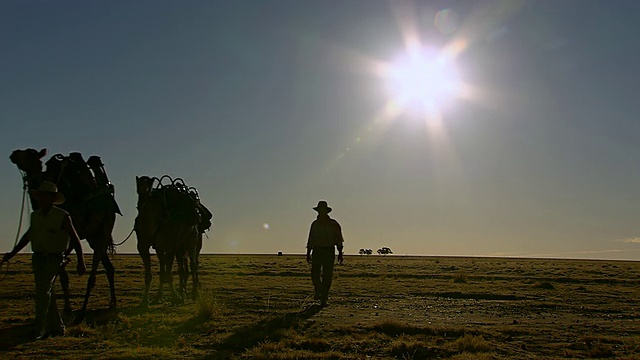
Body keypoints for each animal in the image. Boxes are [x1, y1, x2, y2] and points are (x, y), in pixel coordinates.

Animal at [10, 148, 121, 322]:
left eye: (30, 154)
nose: (14, 153)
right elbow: (61, 274)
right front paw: (65, 309)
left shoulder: (68, 233)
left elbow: (62, 272)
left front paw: (67, 310)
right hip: (93, 237)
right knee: (109, 268)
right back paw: (112, 304)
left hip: (103, 231)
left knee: (94, 274)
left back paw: (82, 312)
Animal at [134, 176, 205, 306]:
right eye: (138, 184)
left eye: (150, 184)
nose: (144, 191)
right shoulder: (145, 246)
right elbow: (155, 274)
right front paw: (148, 300)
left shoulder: (170, 246)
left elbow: (168, 273)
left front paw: (175, 296)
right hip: (181, 245)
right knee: (184, 267)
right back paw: (185, 293)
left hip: (192, 242)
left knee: (193, 265)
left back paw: (193, 295)